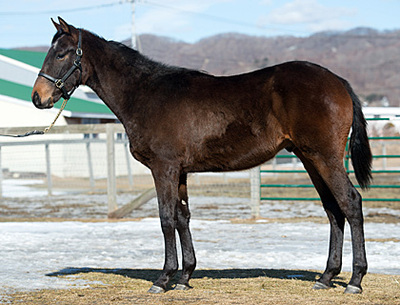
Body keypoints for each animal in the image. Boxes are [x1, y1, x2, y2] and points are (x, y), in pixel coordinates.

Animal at [31, 17, 372, 294]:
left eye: (61, 53)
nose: (38, 97)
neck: (146, 94)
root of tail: (338, 82)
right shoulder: (180, 171)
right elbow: (183, 217)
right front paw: (184, 277)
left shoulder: (164, 168)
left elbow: (166, 218)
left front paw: (163, 279)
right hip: (310, 159)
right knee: (333, 210)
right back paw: (326, 277)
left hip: (324, 158)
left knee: (350, 203)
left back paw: (355, 281)